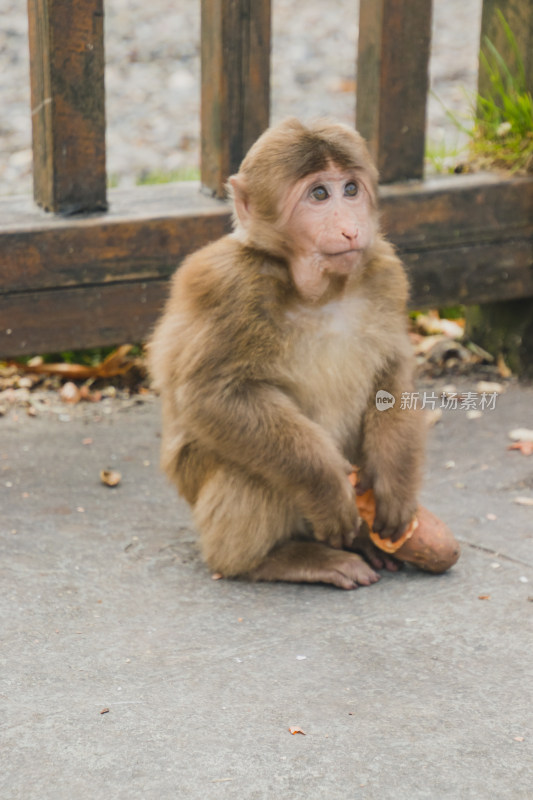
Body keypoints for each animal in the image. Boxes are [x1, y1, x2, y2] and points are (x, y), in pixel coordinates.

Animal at [149, 120, 424, 592]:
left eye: (351, 189)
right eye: (320, 194)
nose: (350, 227)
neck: (320, 292)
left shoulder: (386, 272)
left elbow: (393, 371)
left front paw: (396, 480)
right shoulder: (230, 286)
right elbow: (214, 396)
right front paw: (327, 485)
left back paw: (363, 544)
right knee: (246, 469)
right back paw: (279, 560)